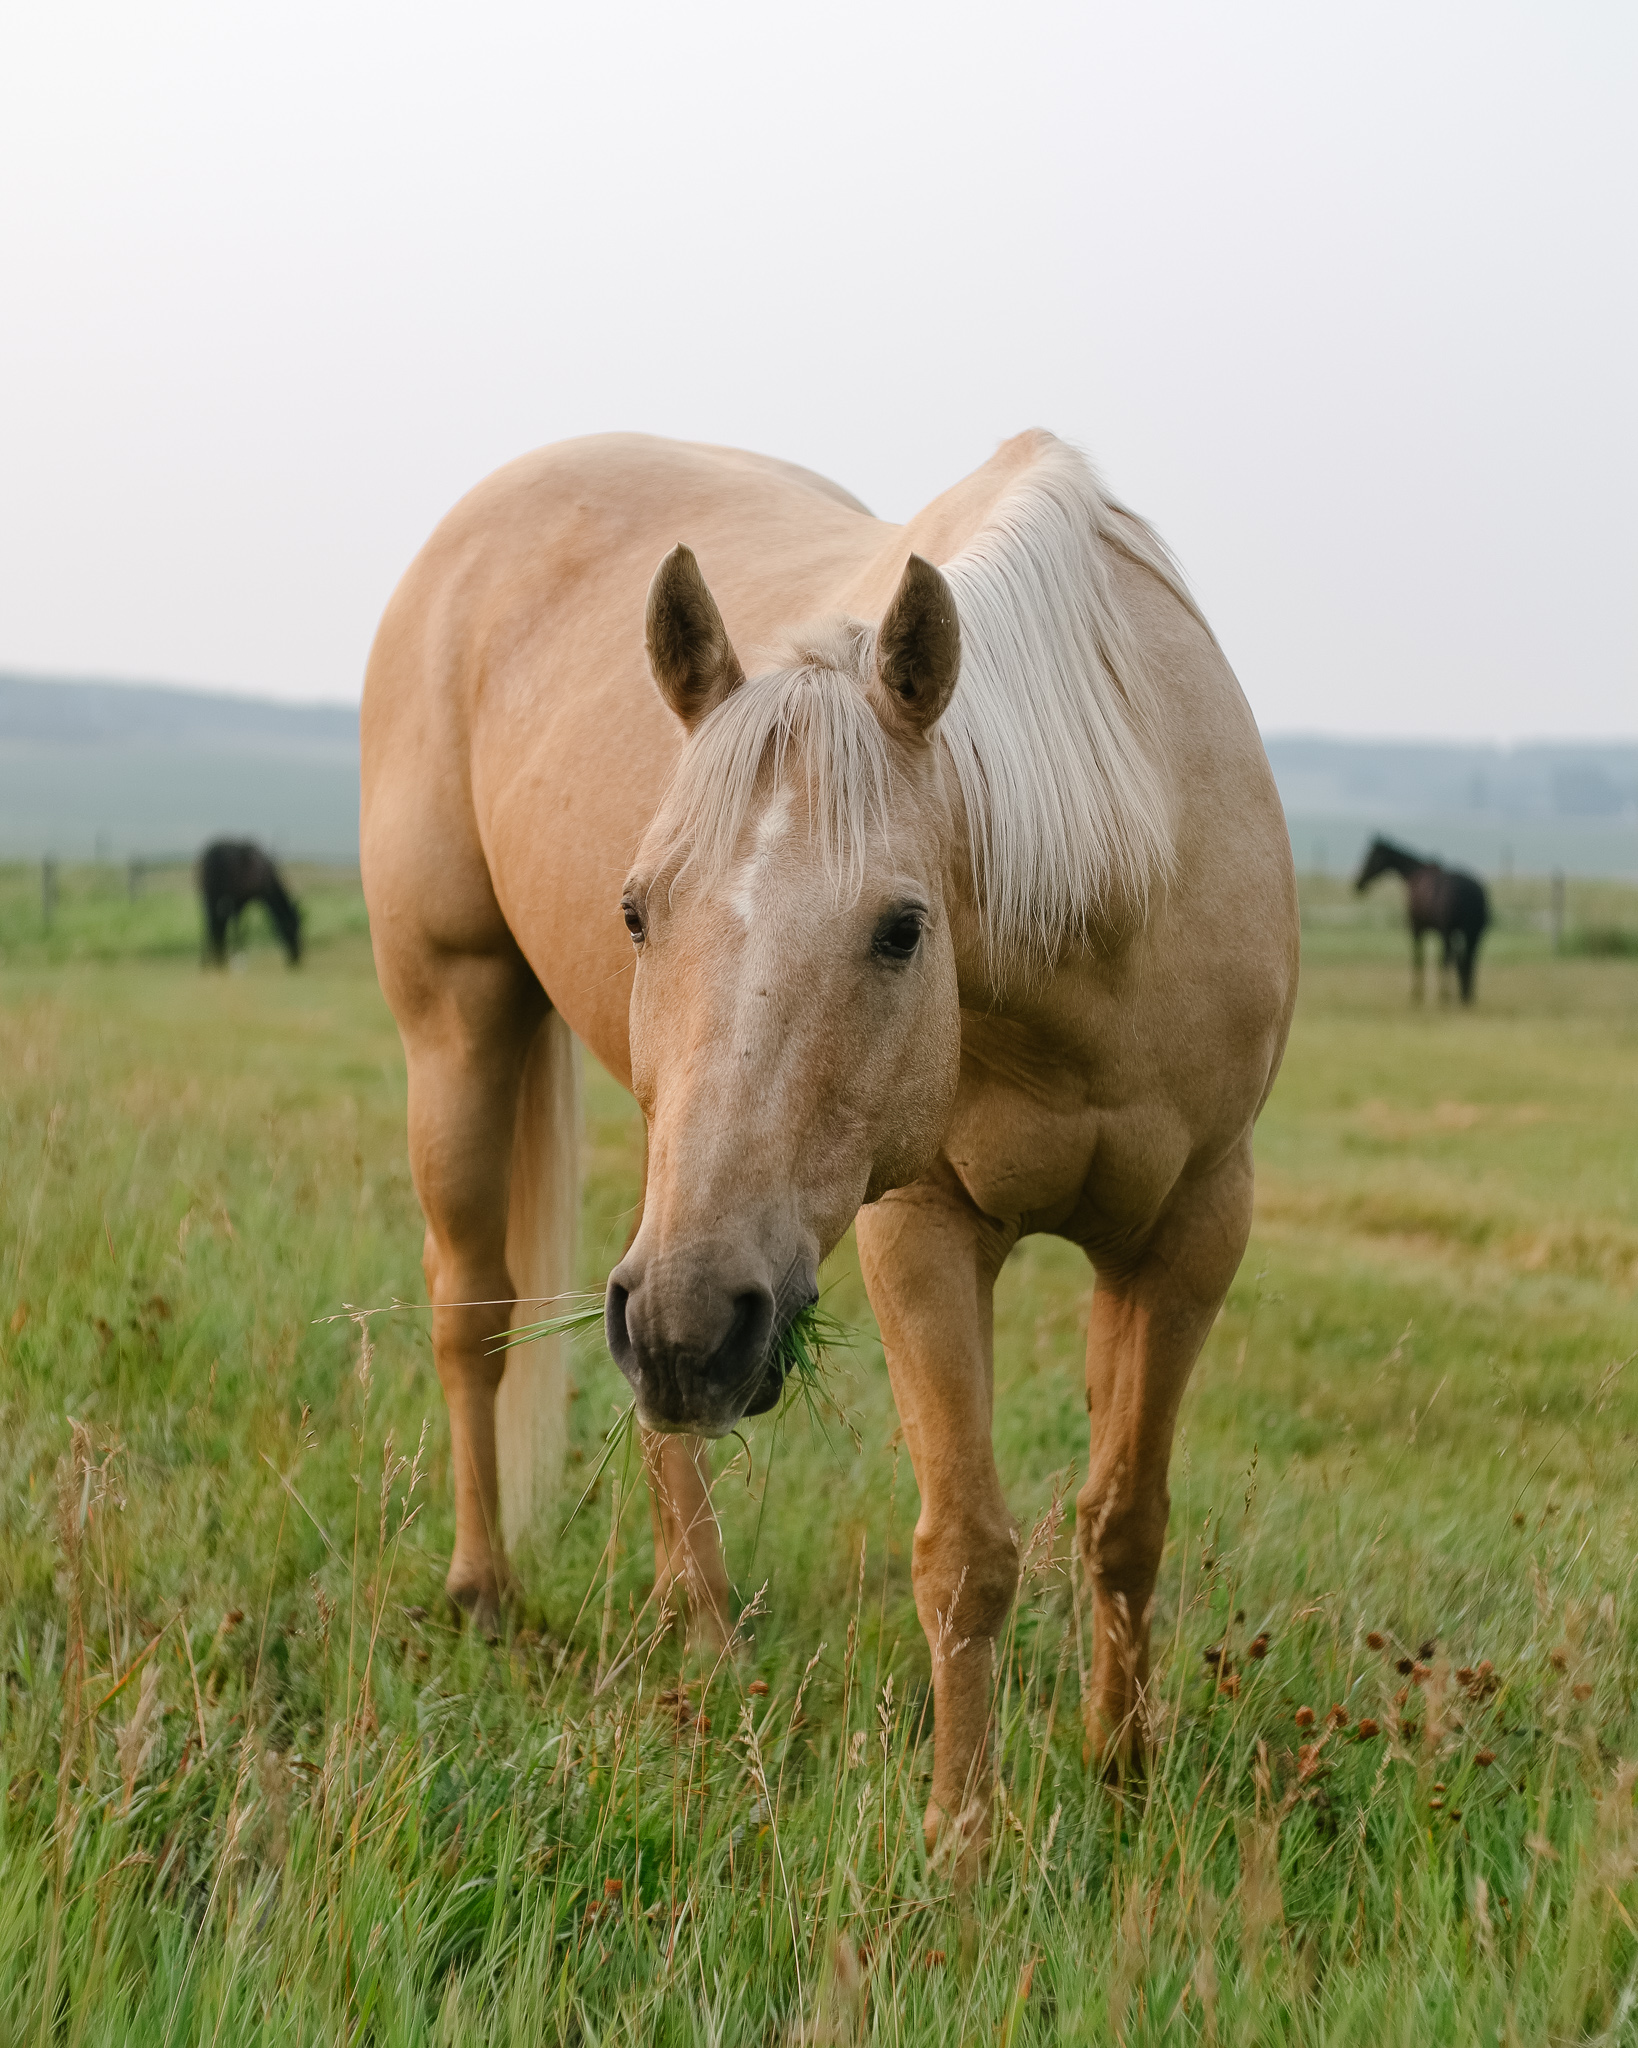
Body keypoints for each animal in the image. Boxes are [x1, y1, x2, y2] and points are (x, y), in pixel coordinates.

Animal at [364, 432, 1302, 1859]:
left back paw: (702, 1627)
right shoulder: (921, 1229)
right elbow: (965, 1549)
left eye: (901, 928)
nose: (697, 1330)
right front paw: (961, 1844)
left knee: (653, 1411)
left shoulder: (1190, 1229)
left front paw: (1123, 1777)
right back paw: (486, 1592)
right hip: (464, 1030)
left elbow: (1124, 1520)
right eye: (638, 909)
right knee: (473, 1311)